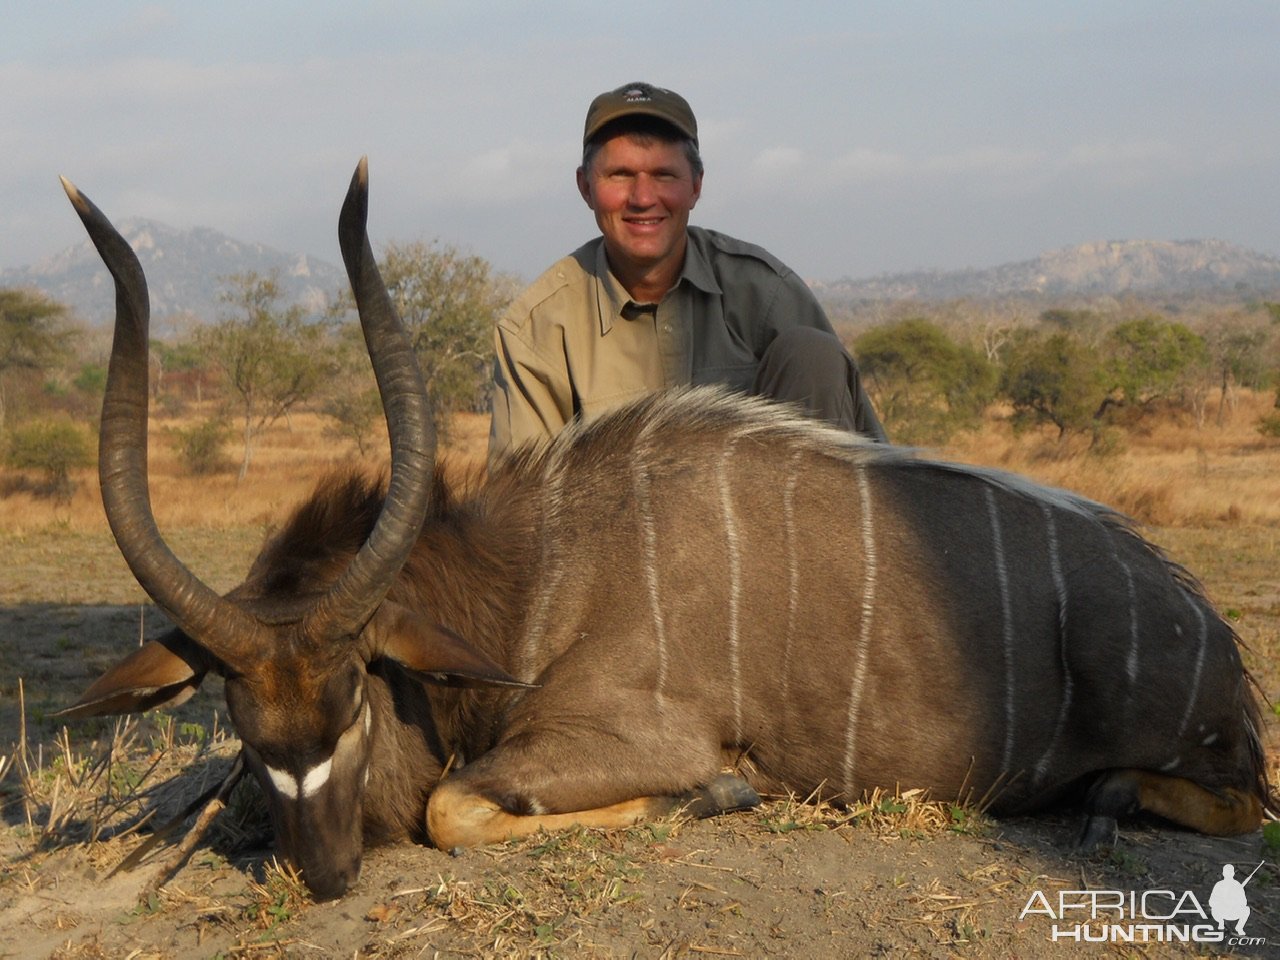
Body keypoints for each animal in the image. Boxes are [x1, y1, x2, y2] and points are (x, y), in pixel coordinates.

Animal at [57, 158, 1259, 901]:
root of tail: (1209, 633)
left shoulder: (629, 738)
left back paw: (1105, 800)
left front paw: (721, 793)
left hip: (1211, 765)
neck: (533, 574)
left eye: (354, 687)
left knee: (1240, 808)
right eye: (234, 710)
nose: (324, 869)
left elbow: (454, 805)